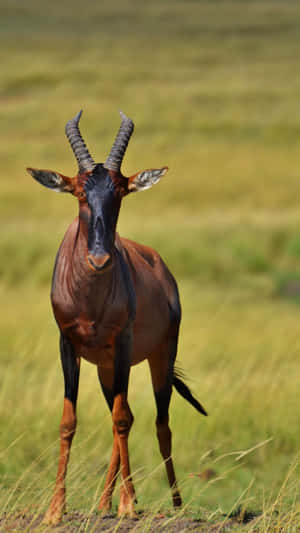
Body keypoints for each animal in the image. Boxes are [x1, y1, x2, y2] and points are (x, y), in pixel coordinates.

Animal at [27, 111, 206, 524]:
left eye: (121, 192)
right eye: (79, 192)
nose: (99, 259)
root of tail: (163, 269)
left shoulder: (123, 342)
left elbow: (124, 420)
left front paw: (128, 506)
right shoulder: (68, 344)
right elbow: (69, 422)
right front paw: (55, 511)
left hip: (160, 356)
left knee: (158, 423)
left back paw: (172, 503)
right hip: (105, 369)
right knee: (124, 418)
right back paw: (105, 502)